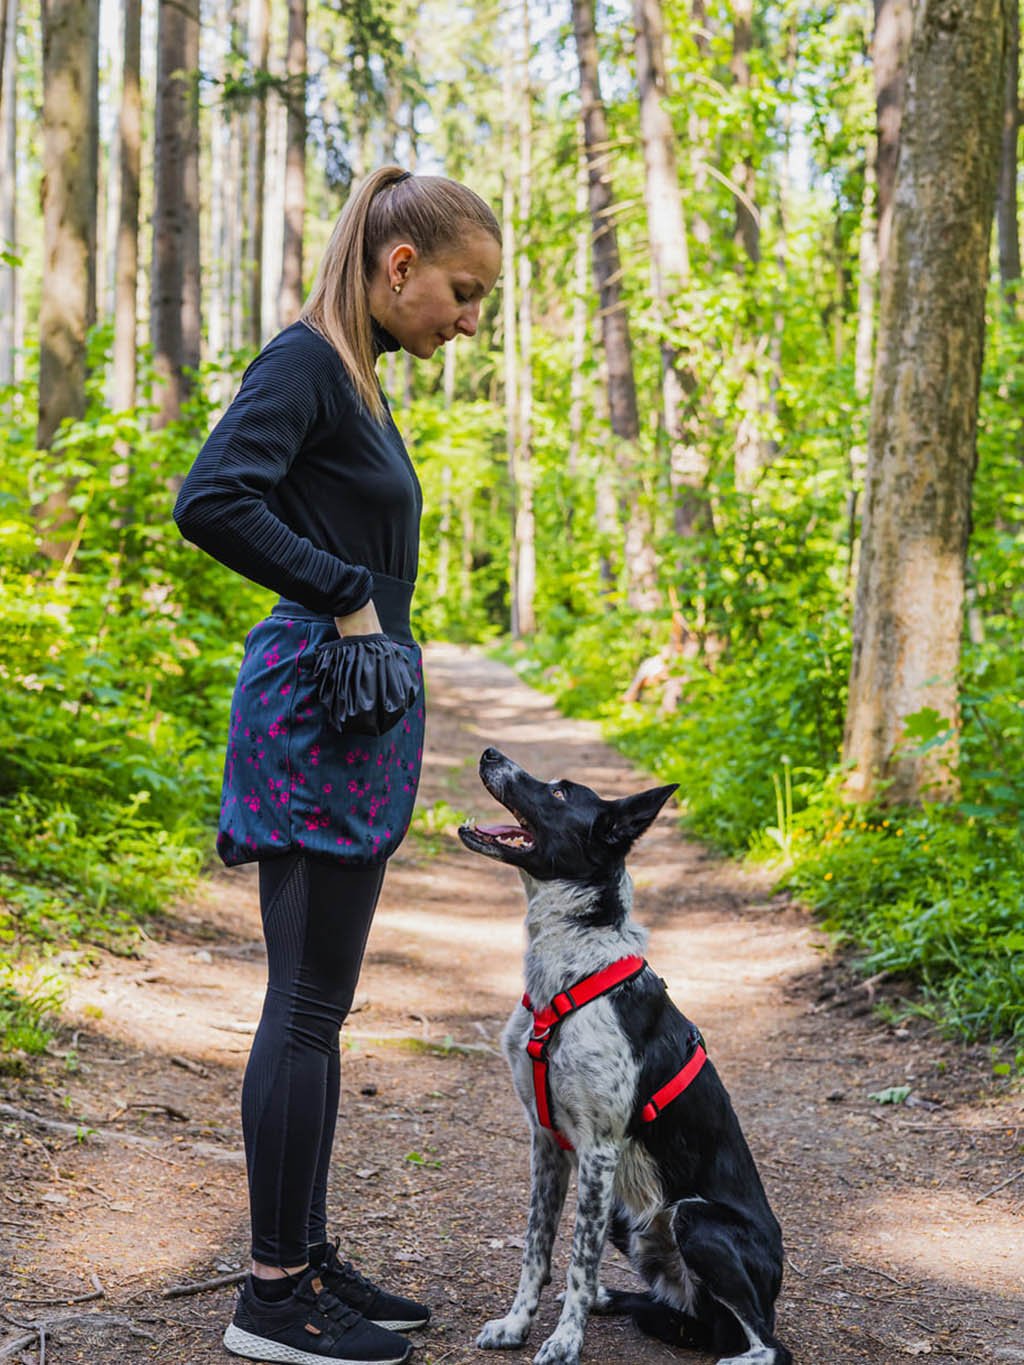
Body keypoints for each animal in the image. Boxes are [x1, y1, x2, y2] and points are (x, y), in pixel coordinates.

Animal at [458, 748, 791, 1365]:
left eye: (560, 792)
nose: (490, 753)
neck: (571, 971)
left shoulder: (599, 1150)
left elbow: (576, 1262)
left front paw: (565, 1340)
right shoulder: (547, 1142)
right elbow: (537, 1251)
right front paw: (516, 1325)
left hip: (692, 1216)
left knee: (768, 1343)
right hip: (629, 1216)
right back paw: (615, 1300)